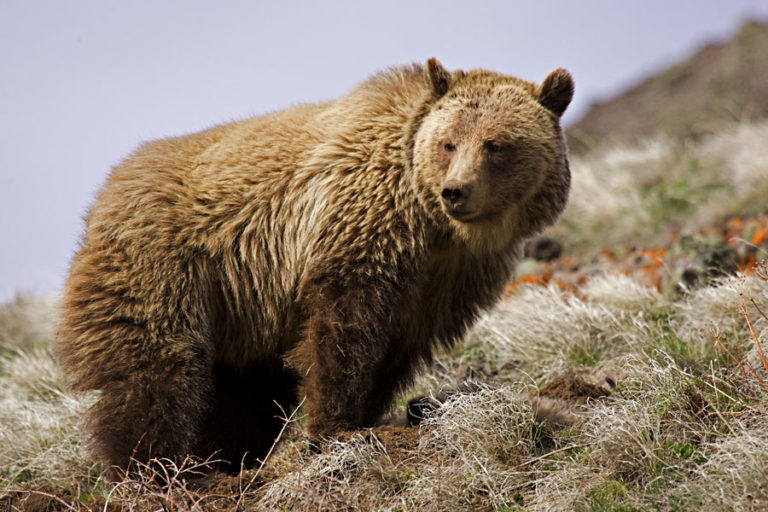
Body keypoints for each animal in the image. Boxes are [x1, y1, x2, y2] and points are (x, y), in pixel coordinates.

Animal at [58, 58, 573, 473]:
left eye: (496, 144)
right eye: (448, 143)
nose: (456, 191)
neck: (433, 226)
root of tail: (109, 188)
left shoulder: (445, 281)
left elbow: (394, 348)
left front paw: (366, 415)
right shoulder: (360, 225)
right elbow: (342, 331)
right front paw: (334, 427)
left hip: (241, 308)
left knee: (244, 391)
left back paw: (223, 461)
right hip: (161, 265)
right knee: (156, 367)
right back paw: (150, 466)